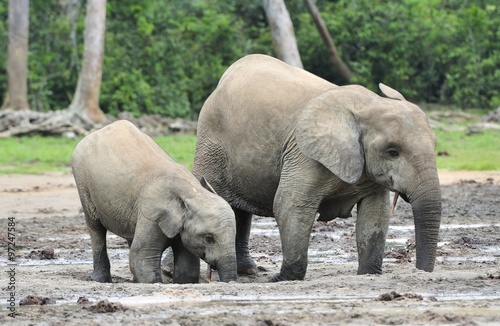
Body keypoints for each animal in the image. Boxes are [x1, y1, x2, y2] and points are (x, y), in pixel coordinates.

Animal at [71, 119, 237, 282]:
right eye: (209, 238)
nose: (229, 282)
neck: (192, 191)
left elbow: (187, 261)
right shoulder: (152, 212)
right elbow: (142, 256)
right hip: (83, 182)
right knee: (96, 229)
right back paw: (100, 280)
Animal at [193, 54, 440, 282]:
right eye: (392, 151)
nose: (421, 272)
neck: (368, 104)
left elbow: (375, 213)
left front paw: (368, 274)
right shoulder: (304, 154)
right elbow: (290, 204)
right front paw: (283, 279)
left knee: (240, 211)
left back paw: (248, 271)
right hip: (211, 144)